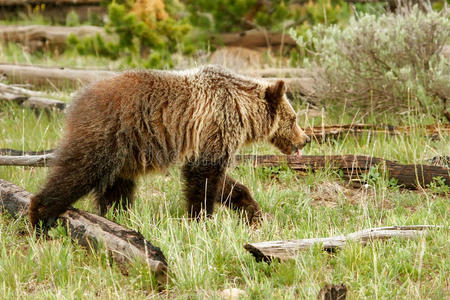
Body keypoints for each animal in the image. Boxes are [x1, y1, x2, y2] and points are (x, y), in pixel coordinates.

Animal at [28, 65, 310, 227]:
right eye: (294, 118)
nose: (305, 139)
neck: (243, 110)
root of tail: (76, 99)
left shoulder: (208, 139)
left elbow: (223, 183)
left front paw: (252, 211)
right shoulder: (215, 124)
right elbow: (203, 177)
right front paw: (201, 218)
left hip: (126, 152)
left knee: (117, 187)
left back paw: (119, 217)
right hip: (107, 134)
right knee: (78, 170)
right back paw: (41, 215)